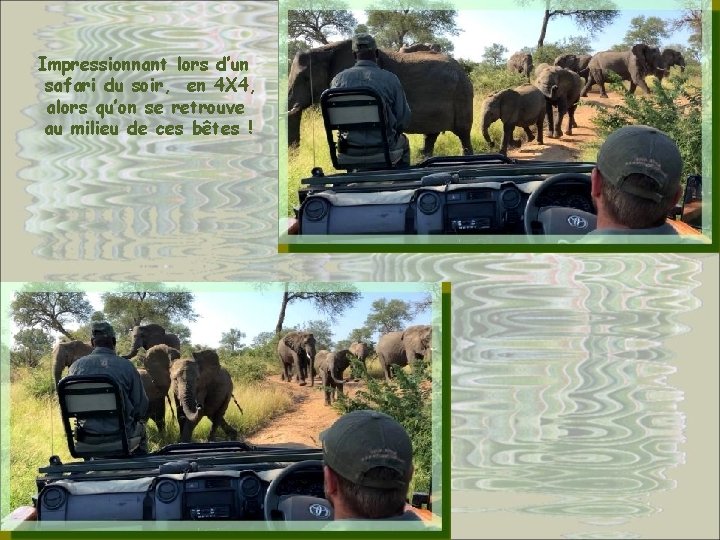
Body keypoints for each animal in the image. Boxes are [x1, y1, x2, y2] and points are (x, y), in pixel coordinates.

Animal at [284, 37, 476, 156]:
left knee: (463, 132)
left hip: (462, 94)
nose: (294, 156)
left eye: (305, 78)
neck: (325, 51)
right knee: (431, 134)